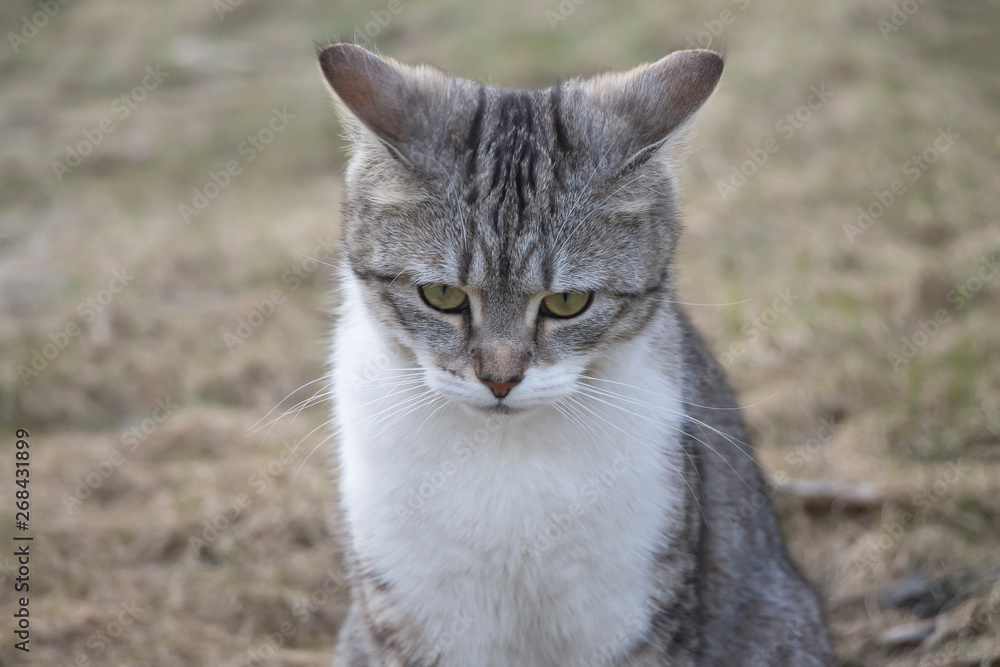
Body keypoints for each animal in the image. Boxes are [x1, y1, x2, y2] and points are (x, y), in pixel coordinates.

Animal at [316, 44, 832, 664]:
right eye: (441, 295)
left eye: (567, 302)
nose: (500, 379)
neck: (504, 459)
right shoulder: (415, 618)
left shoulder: (634, 615)